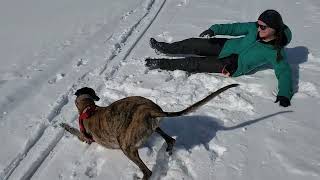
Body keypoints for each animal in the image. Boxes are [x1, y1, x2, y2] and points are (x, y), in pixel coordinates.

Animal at [61, 83, 239, 179]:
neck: (89, 108)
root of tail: (152, 111)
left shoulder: (86, 138)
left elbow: (75, 132)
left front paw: (64, 125)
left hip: (126, 146)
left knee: (147, 171)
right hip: (154, 128)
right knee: (170, 139)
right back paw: (169, 149)